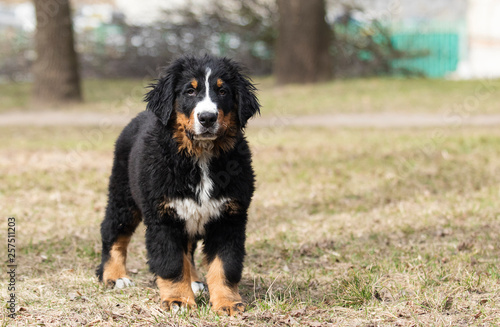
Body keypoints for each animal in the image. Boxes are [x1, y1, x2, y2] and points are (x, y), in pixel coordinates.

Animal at [95, 55, 260, 316]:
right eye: (189, 91)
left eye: (223, 91)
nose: (207, 118)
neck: (200, 156)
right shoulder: (163, 217)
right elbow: (171, 264)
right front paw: (178, 300)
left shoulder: (229, 218)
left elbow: (225, 265)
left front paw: (227, 302)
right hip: (123, 196)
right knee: (113, 231)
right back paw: (114, 276)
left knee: (188, 250)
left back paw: (194, 281)